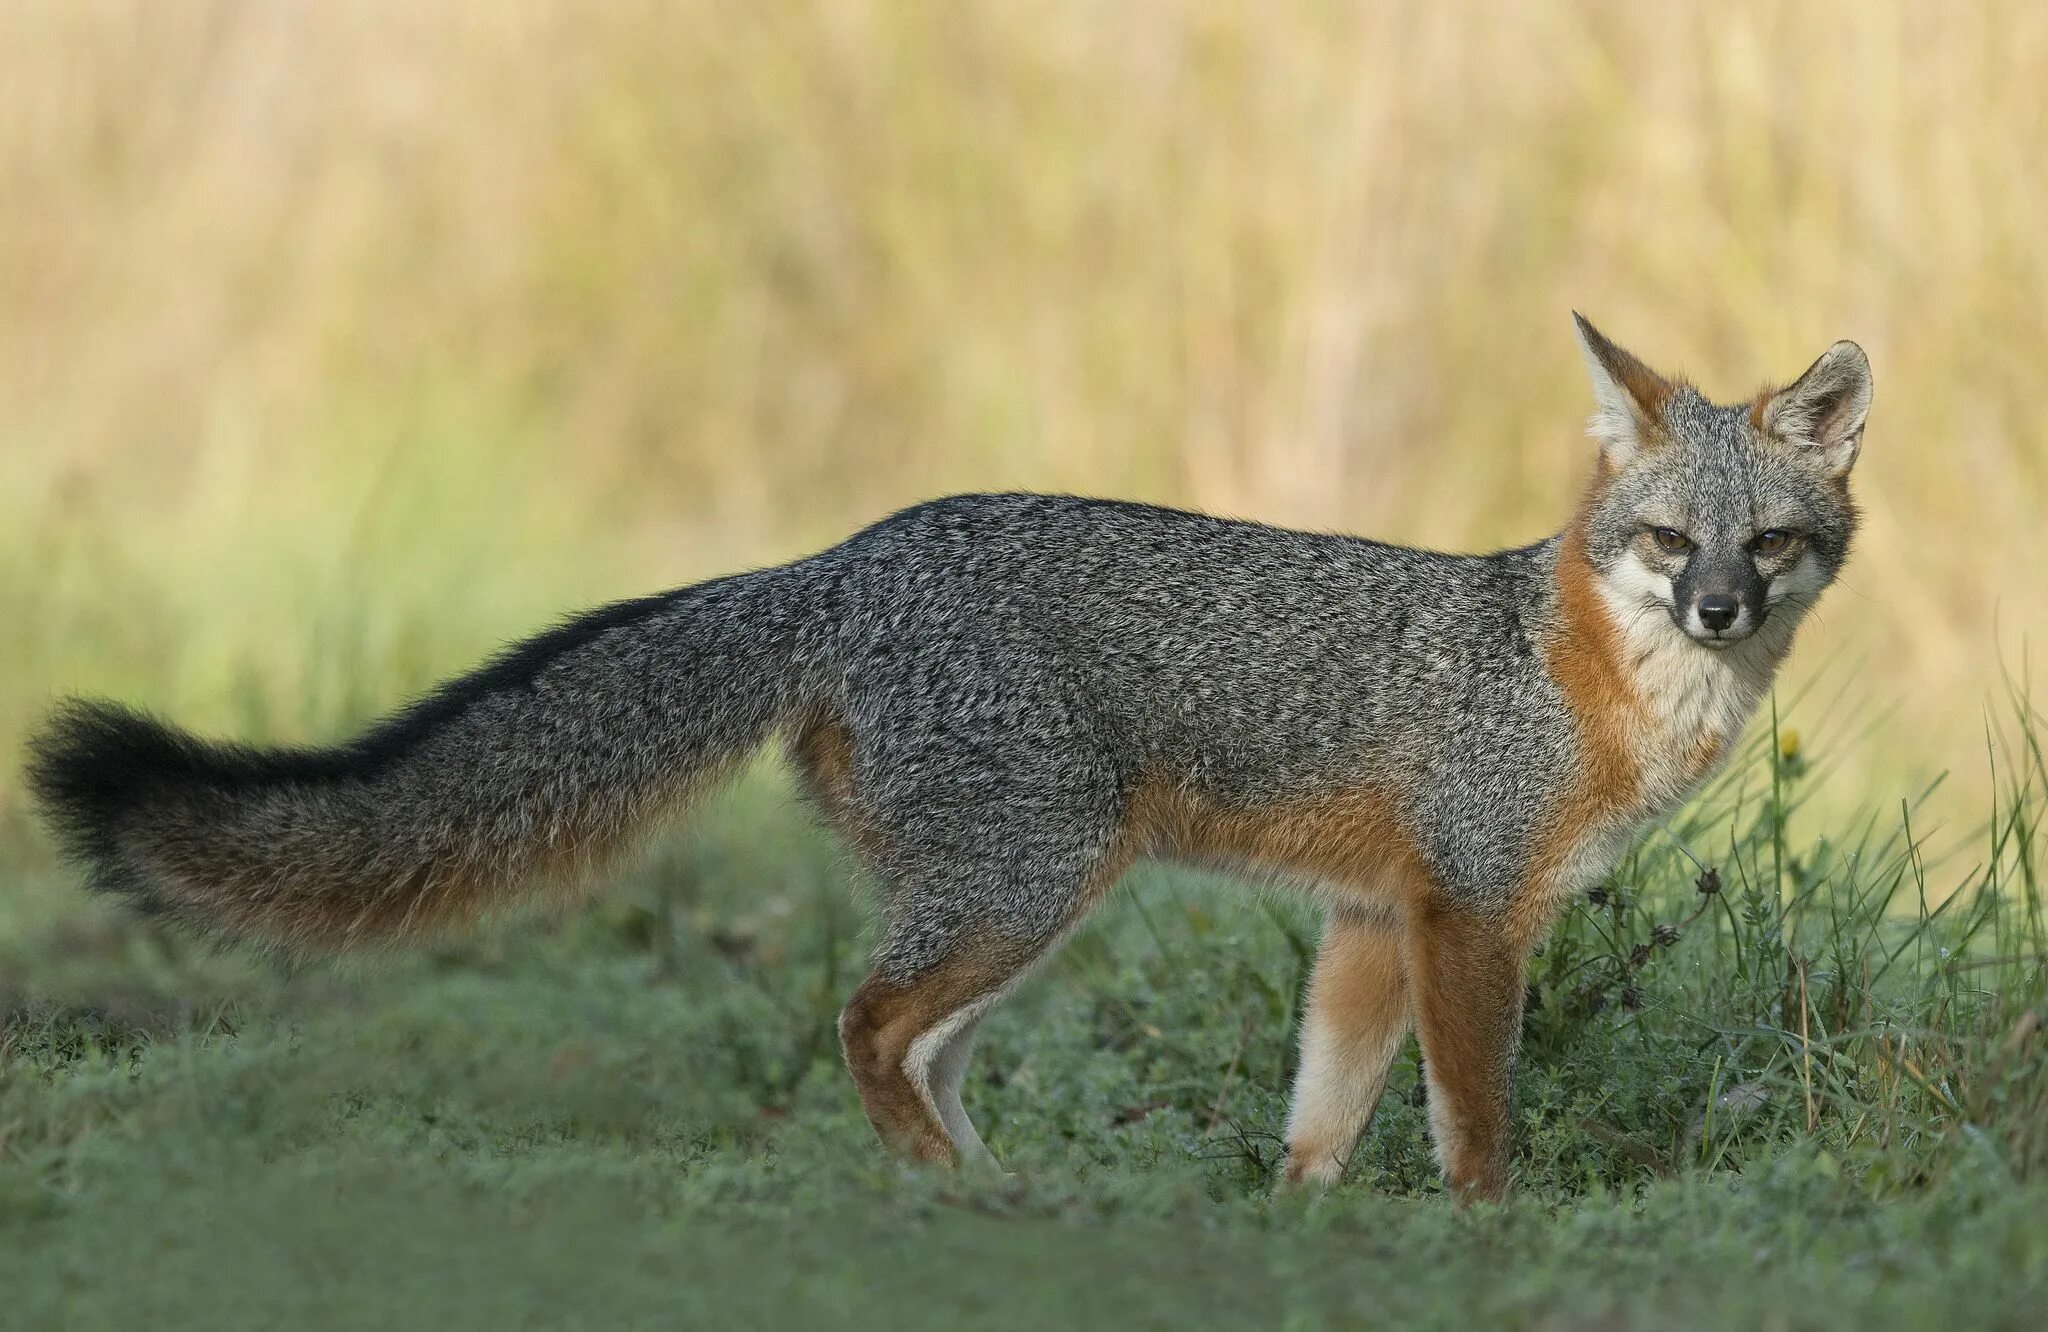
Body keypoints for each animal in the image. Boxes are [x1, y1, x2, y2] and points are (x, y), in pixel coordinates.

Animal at [24, 315, 1875, 1196]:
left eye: (1769, 543)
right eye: (1667, 541)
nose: (1717, 607)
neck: (1590, 681)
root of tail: (841, 556)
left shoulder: (1369, 920)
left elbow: (1318, 1122)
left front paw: (1301, 1233)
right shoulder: (1469, 913)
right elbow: (1472, 1123)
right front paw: (1486, 1238)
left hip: (1013, 904)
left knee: (916, 1053)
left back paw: (991, 1200)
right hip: (1027, 883)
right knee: (862, 1029)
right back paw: (961, 1198)